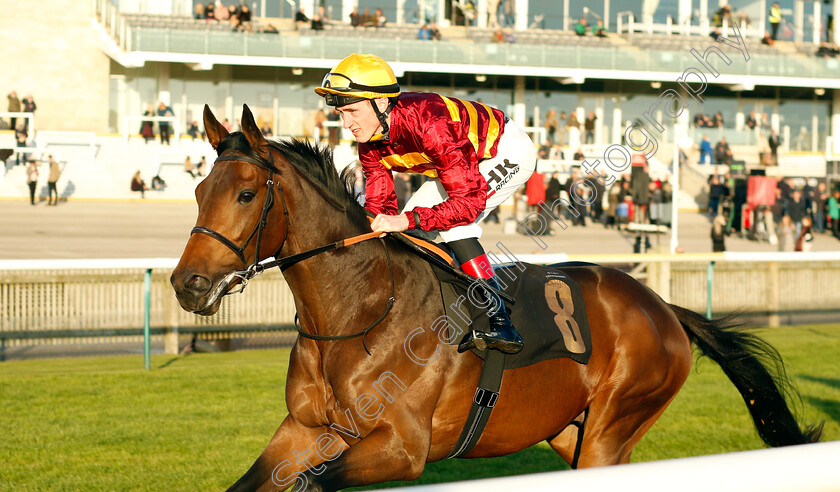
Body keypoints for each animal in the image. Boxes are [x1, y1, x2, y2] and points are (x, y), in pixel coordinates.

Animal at [171, 105, 820, 490]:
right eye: (199, 189)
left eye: (247, 193)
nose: (187, 284)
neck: (360, 313)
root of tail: (663, 309)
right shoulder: (303, 431)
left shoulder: (402, 448)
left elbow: (315, 480)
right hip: (573, 431)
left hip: (614, 423)